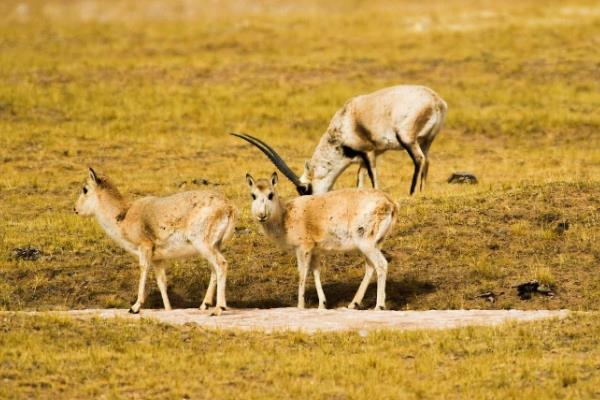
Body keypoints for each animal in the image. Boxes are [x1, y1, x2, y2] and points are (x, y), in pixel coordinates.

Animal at [73, 168, 237, 316]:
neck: (124, 216)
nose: (75, 209)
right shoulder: (158, 259)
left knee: (221, 264)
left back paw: (218, 308)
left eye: (85, 189)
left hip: (204, 245)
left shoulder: (144, 247)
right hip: (213, 247)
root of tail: (228, 207)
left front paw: (134, 307)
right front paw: (168, 309)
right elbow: (161, 281)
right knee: (214, 268)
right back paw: (204, 305)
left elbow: (143, 269)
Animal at [232, 85, 448, 196]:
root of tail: (436, 101)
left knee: (419, 160)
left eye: (304, 189)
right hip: (426, 141)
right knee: (427, 161)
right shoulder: (363, 159)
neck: (343, 123)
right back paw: (422, 193)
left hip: (407, 140)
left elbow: (373, 179)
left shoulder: (369, 152)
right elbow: (360, 180)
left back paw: (412, 194)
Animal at [246, 172, 396, 310]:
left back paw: (379, 306)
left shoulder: (303, 247)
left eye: (270, 194)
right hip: (375, 243)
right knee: (370, 267)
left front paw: (300, 306)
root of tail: (391, 203)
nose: (261, 215)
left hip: (366, 242)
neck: (285, 217)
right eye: (253, 195)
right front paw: (322, 305)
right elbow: (316, 272)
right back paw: (353, 304)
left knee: (381, 264)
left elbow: (302, 273)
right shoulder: (316, 250)